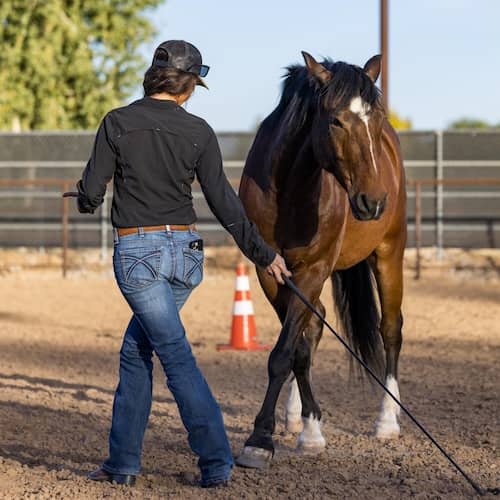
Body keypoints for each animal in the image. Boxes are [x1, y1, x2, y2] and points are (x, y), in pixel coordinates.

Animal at [235, 51, 406, 468]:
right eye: (336, 120)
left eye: (377, 119)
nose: (373, 201)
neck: (291, 191)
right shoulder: (270, 272)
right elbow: (295, 347)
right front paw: (308, 426)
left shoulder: (314, 269)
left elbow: (283, 352)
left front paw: (259, 439)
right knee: (314, 326)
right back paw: (297, 416)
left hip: (389, 252)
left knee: (390, 329)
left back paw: (387, 421)